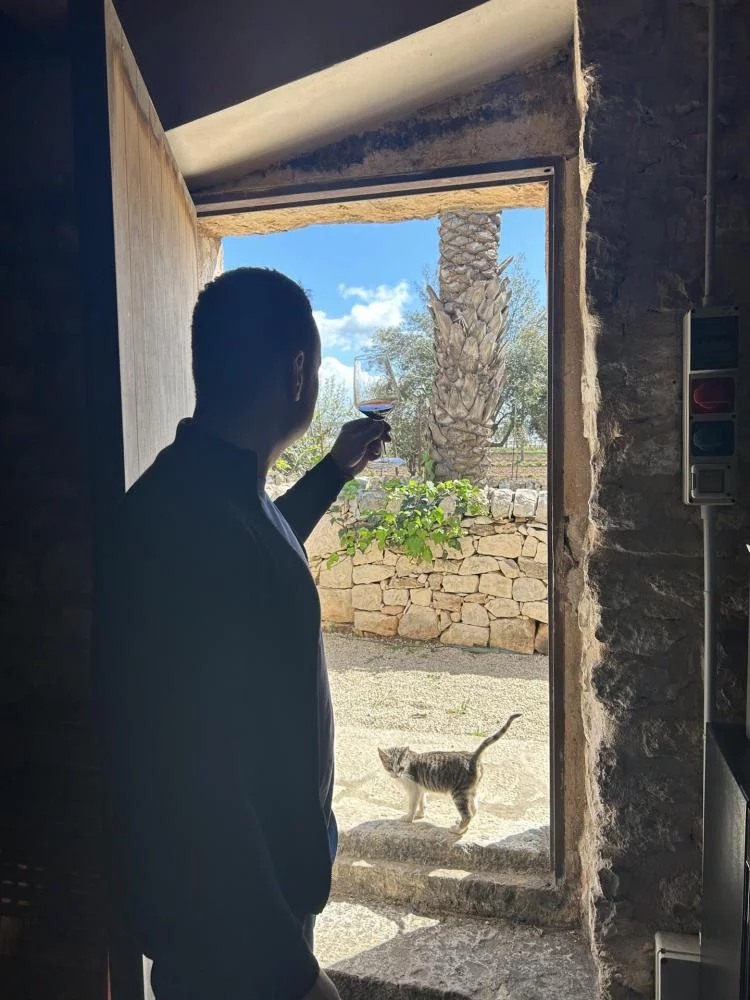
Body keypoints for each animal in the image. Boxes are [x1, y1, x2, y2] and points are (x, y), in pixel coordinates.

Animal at [377, 713, 521, 834]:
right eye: (390, 768)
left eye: (401, 768)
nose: (395, 775)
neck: (409, 763)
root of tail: (472, 756)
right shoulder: (420, 788)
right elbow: (422, 802)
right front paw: (420, 814)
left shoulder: (413, 788)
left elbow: (413, 804)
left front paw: (408, 818)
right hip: (470, 790)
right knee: (474, 809)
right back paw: (461, 824)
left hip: (459, 793)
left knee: (467, 814)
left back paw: (458, 830)